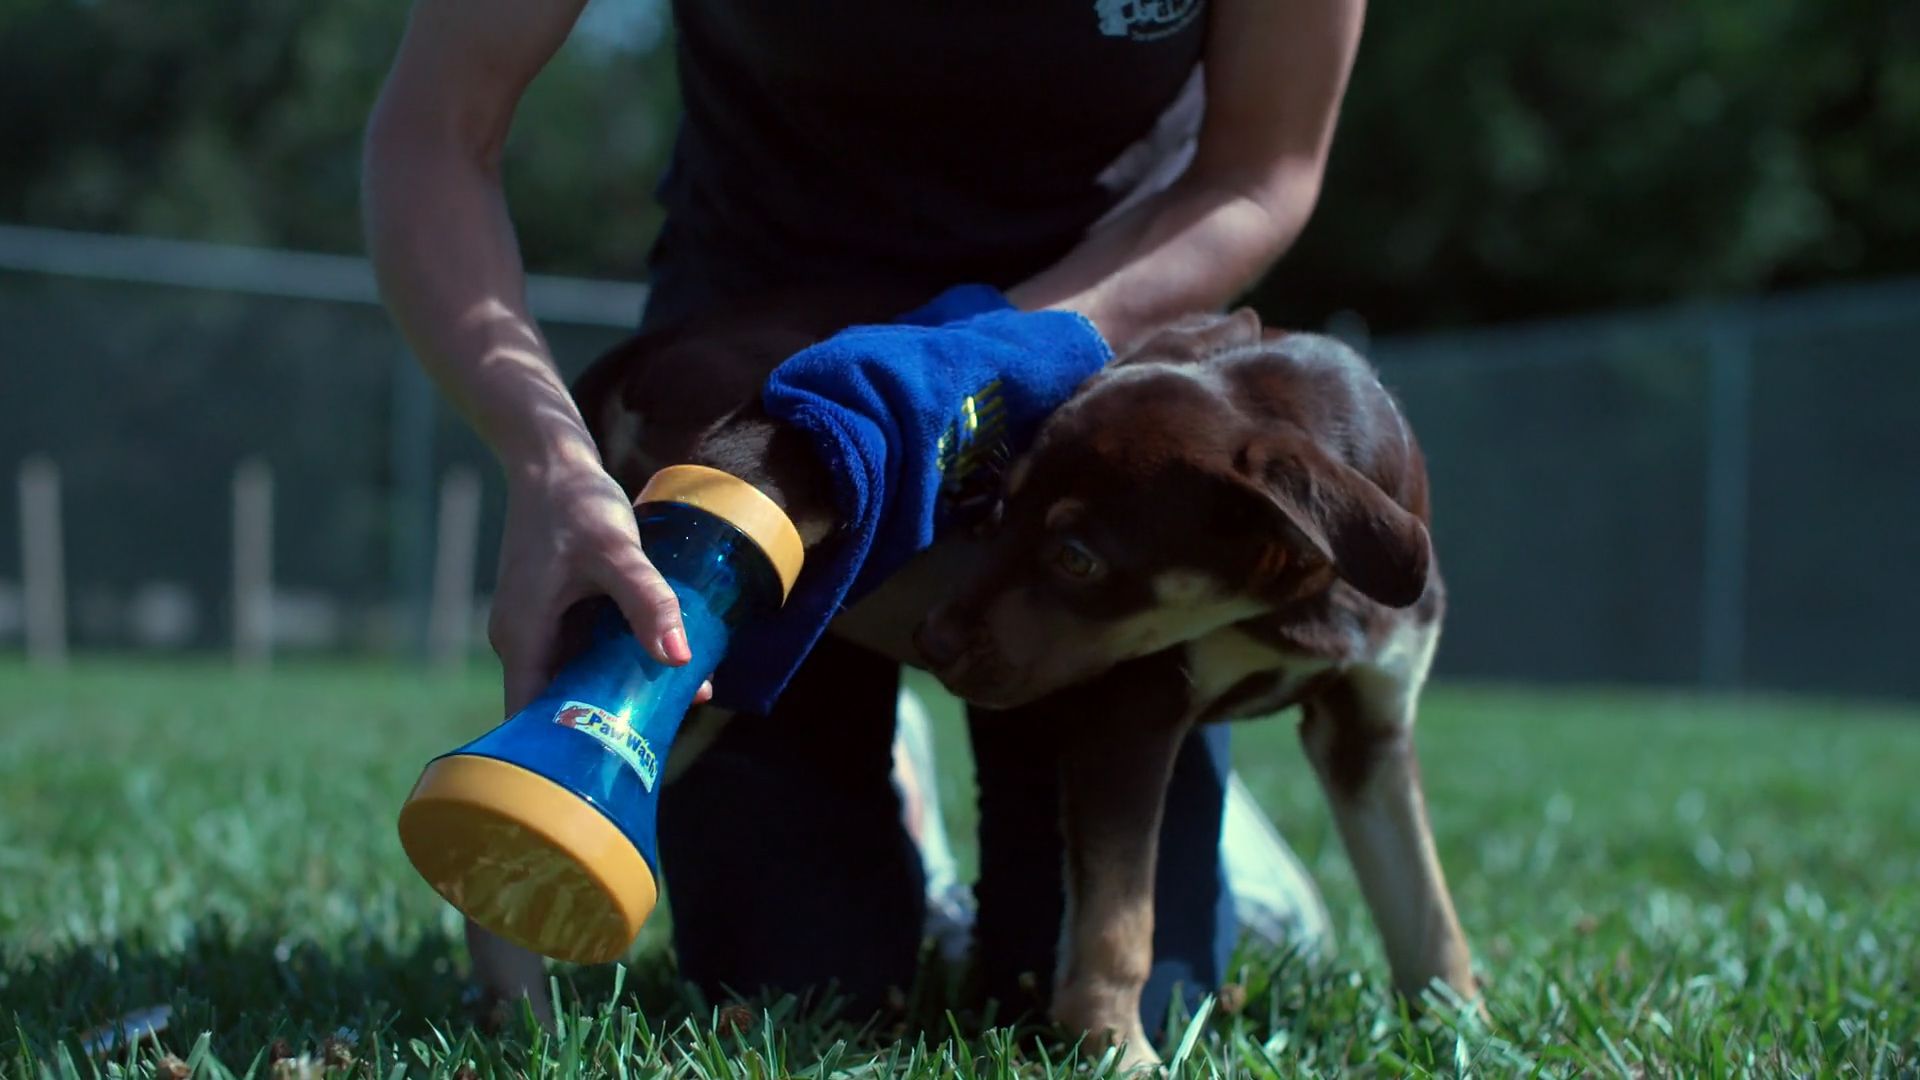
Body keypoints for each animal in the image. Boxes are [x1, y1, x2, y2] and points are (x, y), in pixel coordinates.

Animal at [560, 290, 1474, 1060]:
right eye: (1000, 506)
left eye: (1077, 557)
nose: (931, 642)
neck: (1299, 595)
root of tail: (646, 350)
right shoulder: (1130, 709)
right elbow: (1119, 920)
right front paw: (1116, 1050)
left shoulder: (1368, 727)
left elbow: (1426, 905)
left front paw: (1463, 1029)